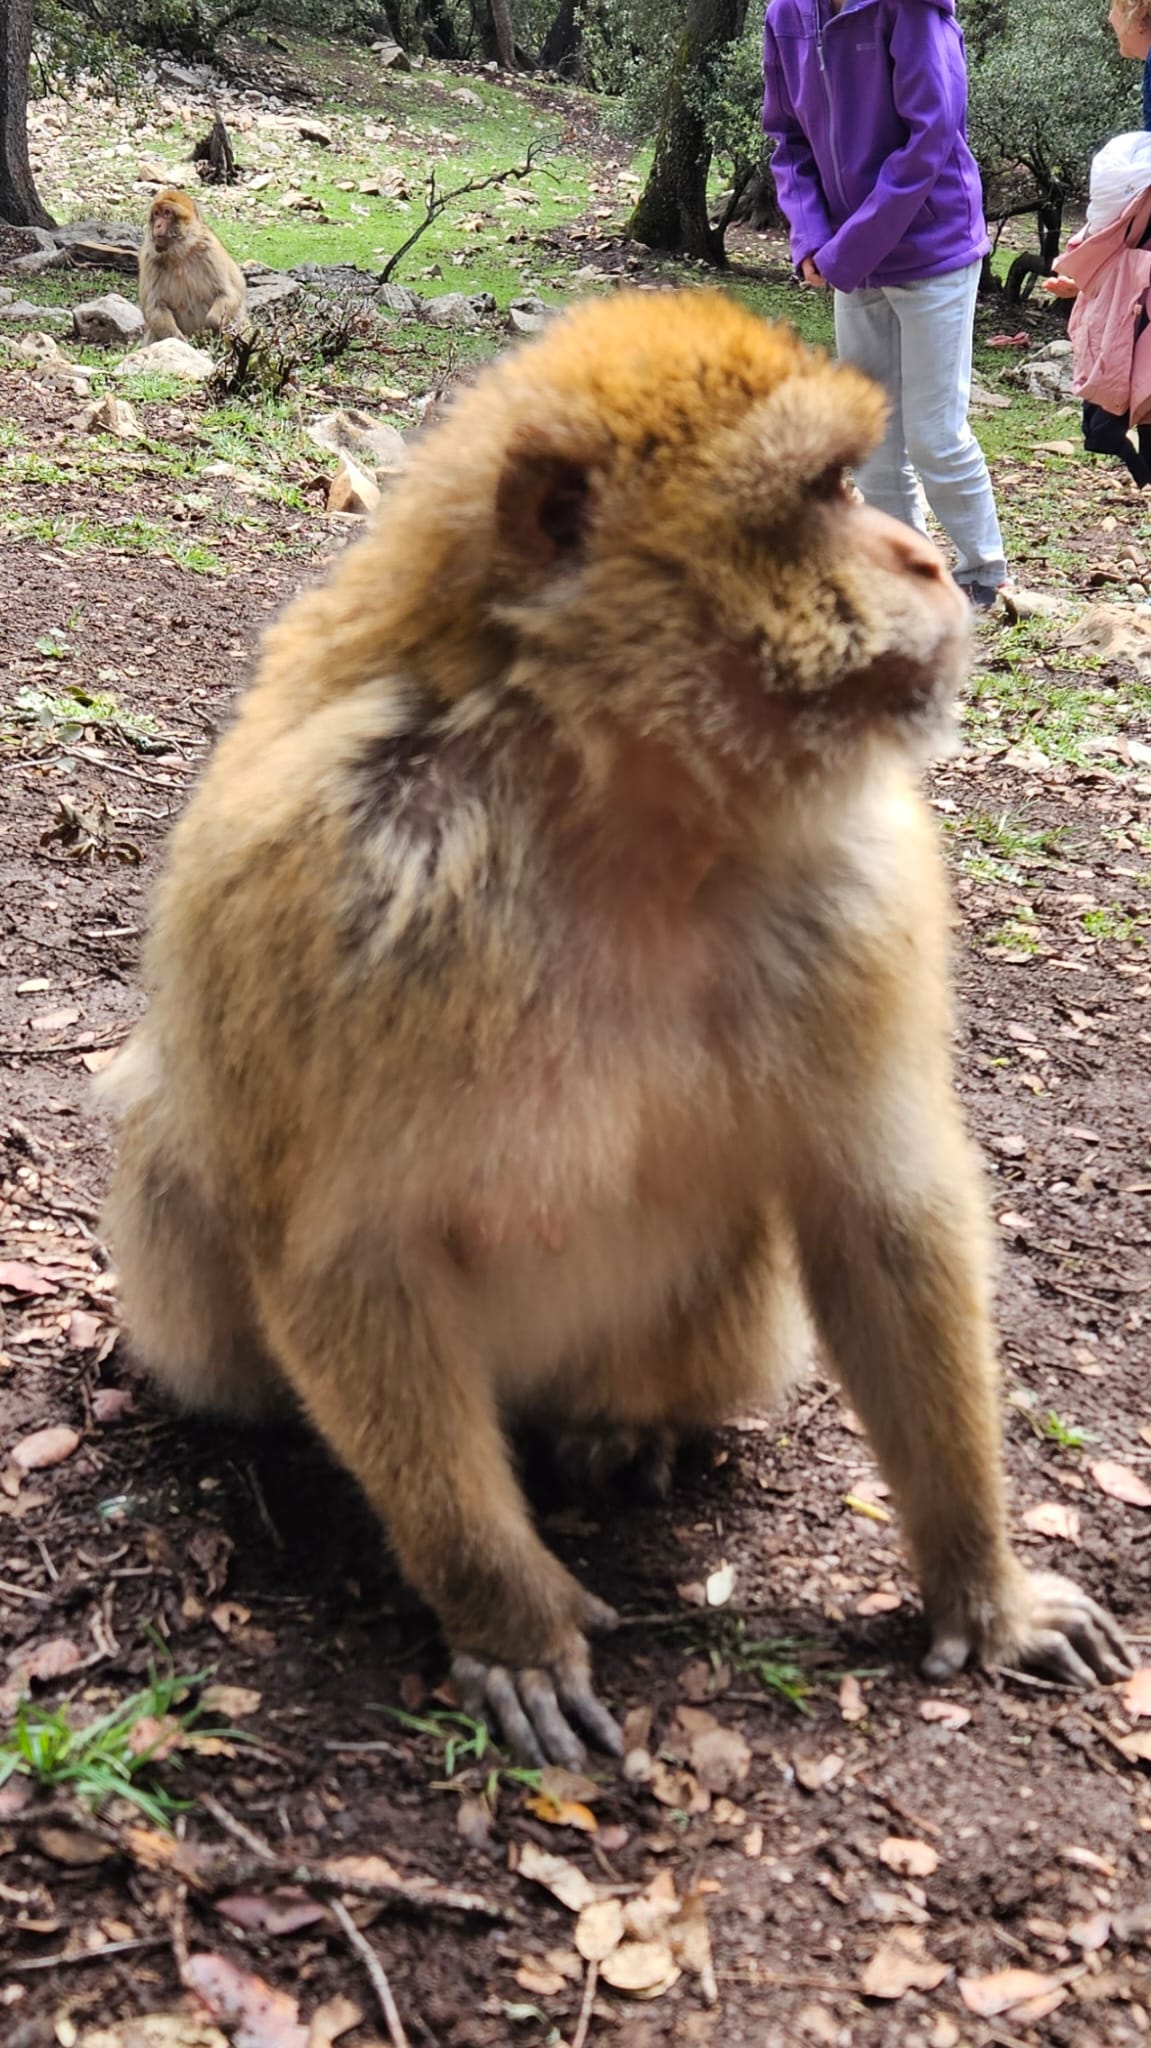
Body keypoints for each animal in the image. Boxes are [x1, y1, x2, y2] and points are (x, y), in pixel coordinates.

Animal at [99, 290, 1132, 1769]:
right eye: (824, 493)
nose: (926, 561)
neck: (611, 804)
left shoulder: (860, 883)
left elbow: (875, 1209)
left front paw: (979, 1587)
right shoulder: (335, 877)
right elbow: (344, 1254)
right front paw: (511, 1619)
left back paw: (623, 1430)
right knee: (179, 1151)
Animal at [138, 188, 247, 344]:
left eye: (167, 213)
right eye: (156, 214)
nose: (157, 225)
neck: (180, 253)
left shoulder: (211, 249)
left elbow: (231, 293)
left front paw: (212, 325)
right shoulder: (148, 259)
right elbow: (154, 308)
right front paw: (179, 339)